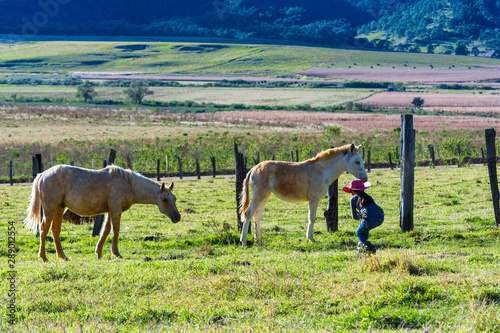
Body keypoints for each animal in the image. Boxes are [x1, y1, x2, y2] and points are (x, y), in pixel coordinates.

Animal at [23, 165, 181, 260]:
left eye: (174, 198)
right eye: (165, 199)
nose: (177, 217)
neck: (129, 184)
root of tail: (43, 174)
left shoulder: (110, 211)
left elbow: (105, 230)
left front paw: (98, 253)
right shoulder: (116, 210)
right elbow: (115, 230)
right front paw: (116, 253)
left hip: (59, 208)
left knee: (55, 230)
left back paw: (63, 256)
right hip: (50, 209)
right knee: (44, 229)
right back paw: (43, 257)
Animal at [238, 141, 368, 245]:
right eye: (357, 162)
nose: (365, 179)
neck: (322, 171)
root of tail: (254, 168)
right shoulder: (314, 198)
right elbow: (312, 217)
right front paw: (311, 238)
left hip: (265, 196)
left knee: (257, 215)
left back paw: (259, 240)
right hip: (259, 195)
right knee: (248, 214)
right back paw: (244, 242)